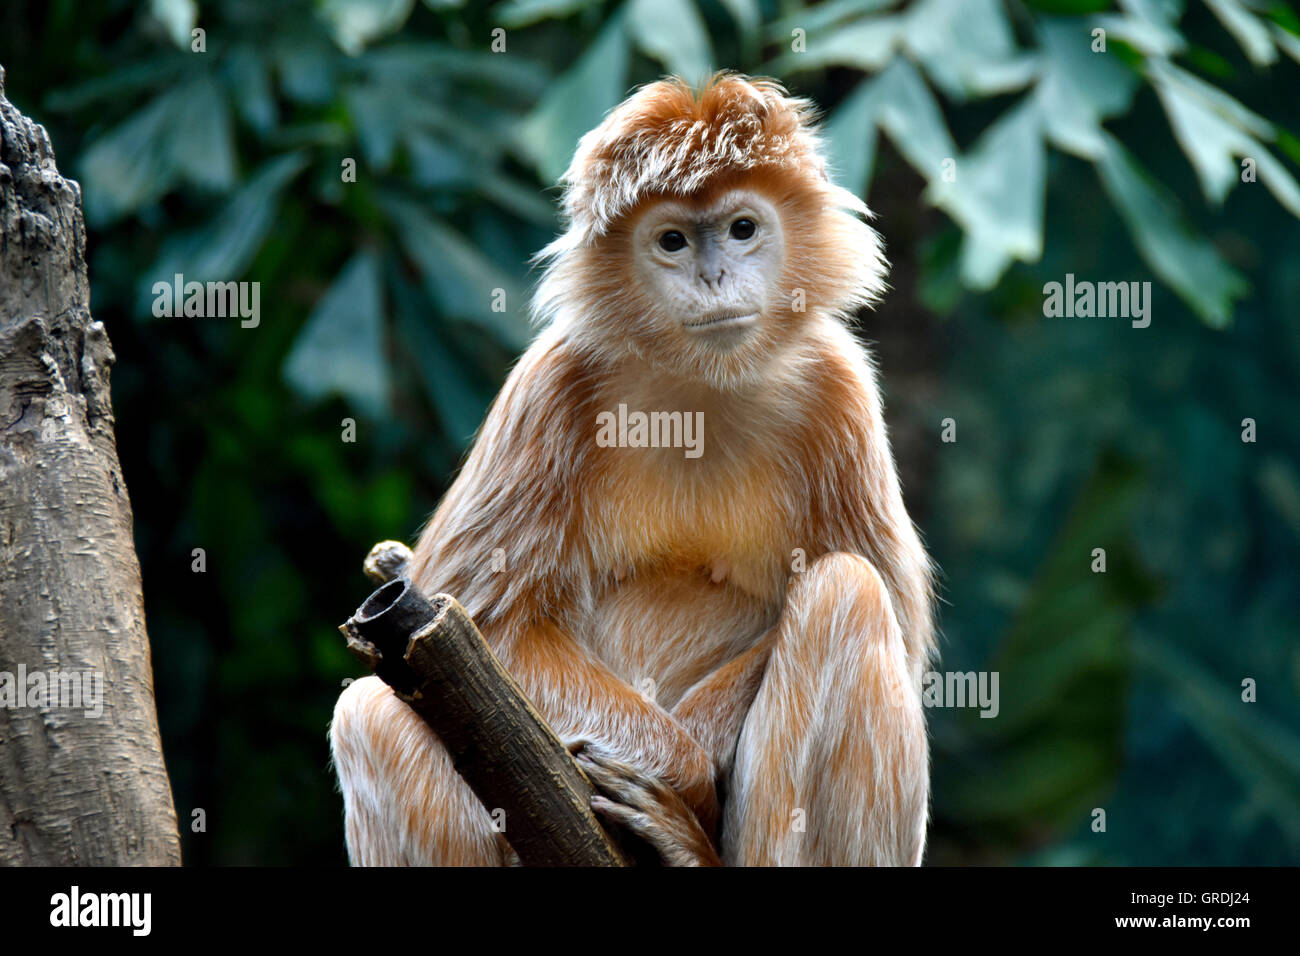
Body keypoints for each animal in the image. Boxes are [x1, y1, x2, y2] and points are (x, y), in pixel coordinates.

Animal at [327, 74, 935, 868]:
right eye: (672, 241)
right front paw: (684, 770)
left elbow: (900, 628)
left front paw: (690, 779)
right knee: (366, 715)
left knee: (847, 595)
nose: (713, 275)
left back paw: (687, 847)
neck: (700, 388)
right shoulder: (551, 382)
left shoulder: (841, 388)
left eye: (742, 228)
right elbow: (489, 620)